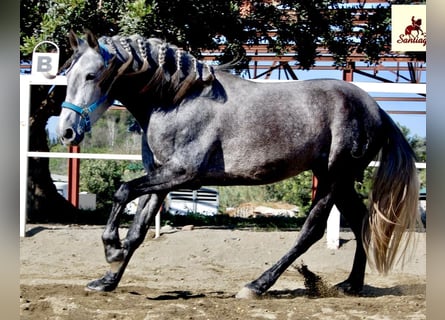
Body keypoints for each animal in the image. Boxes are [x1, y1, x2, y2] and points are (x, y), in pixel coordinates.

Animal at [57, 31, 418, 298]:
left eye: (91, 75)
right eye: (67, 74)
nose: (66, 132)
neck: (176, 100)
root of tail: (376, 110)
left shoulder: (182, 174)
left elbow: (121, 191)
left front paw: (111, 249)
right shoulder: (161, 177)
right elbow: (138, 230)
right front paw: (107, 280)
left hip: (333, 178)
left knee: (311, 231)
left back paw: (257, 286)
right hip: (338, 180)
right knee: (360, 221)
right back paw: (351, 285)